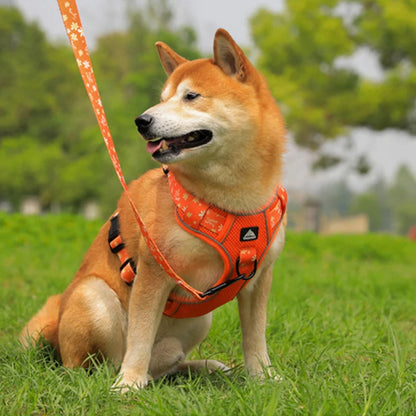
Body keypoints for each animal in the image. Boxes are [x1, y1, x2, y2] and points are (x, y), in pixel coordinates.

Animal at [18, 28, 286, 390]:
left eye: (191, 96)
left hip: (200, 319)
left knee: (165, 369)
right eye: (162, 97)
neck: (231, 201)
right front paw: (128, 384)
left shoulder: (259, 279)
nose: (141, 120)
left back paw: (202, 367)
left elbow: (255, 337)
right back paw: (117, 377)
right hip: (94, 298)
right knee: (88, 366)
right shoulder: (154, 270)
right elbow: (141, 337)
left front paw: (263, 377)